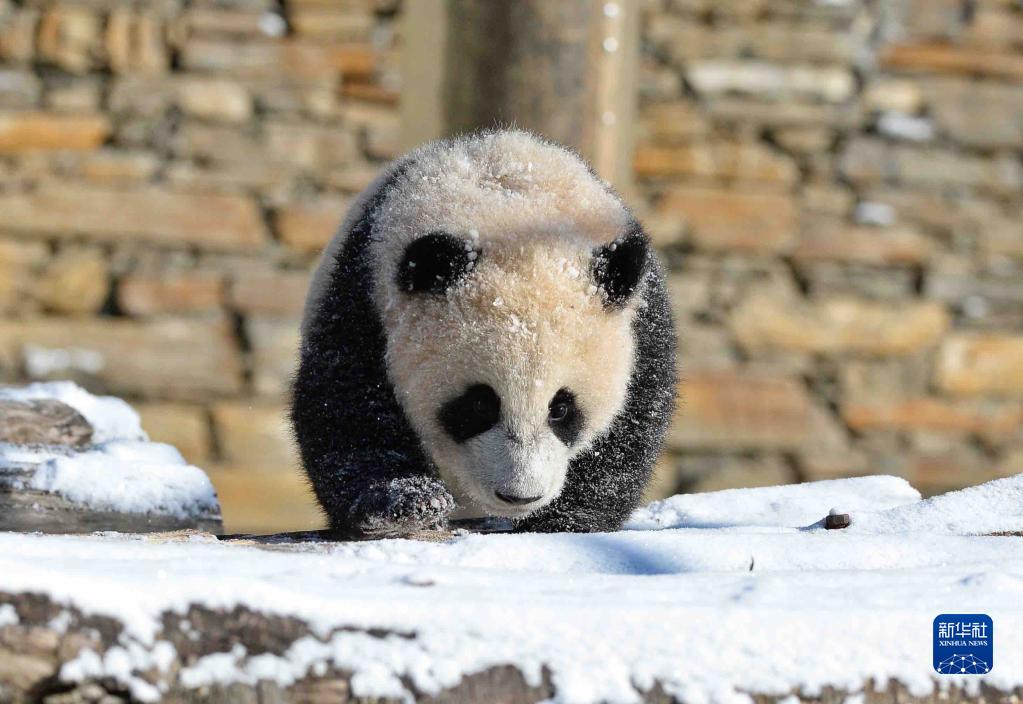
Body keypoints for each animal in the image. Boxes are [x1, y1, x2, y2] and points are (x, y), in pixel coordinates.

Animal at [292, 129, 675, 536]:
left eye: (561, 408)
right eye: (479, 403)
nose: (519, 496)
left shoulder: (640, 322)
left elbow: (632, 425)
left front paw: (568, 519)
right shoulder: (365, 297)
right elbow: (346, 409)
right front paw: (408, 501)